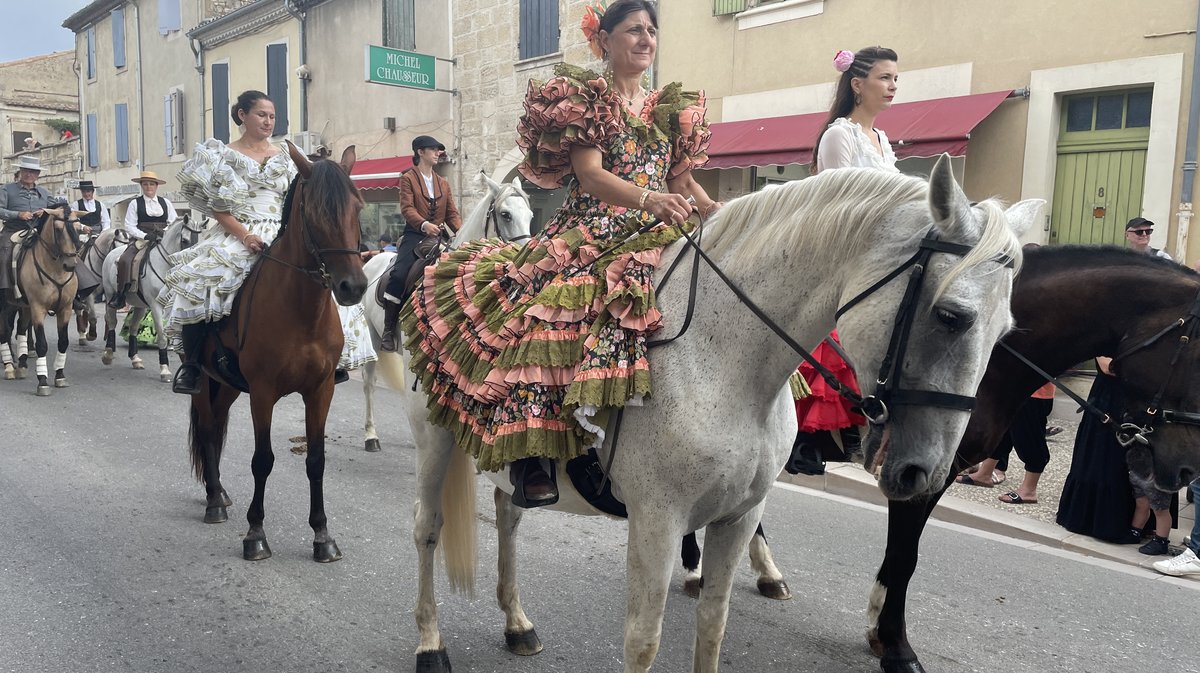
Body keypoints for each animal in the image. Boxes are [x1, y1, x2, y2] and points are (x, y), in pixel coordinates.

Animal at [0, 206, 81, 393]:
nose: (70, 265)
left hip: (23, 306)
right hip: (6, 304)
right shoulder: (38, 308)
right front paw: (43, 381)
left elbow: (63, 341)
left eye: (78, 228)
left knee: (20, 328)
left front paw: (60, 376)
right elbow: (42, 344)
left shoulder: (65, 308)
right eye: (58, 229)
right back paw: (9, 367)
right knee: (5, 331)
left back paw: (21, 365)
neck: (55, 269)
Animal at [99, 218, 200, 381]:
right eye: (185, 240)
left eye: (199, 240)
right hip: (110, 297)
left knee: (133, 327)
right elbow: (162, 335)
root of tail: (111, 253)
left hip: (140, 305)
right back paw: (108, 354)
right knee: (112, 322)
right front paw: (164, 369)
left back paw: (135, 359)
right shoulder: (156, 306)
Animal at [184, 144, 364, 563]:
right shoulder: (263, 392)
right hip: (204, 382)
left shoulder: (320, 390)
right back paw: (213, 501)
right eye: (315, 213)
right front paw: (255, 534)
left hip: (228, 386)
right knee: (207, 428)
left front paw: (322, 536)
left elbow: (316, 460)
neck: (301, 310)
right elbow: (262, 460)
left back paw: (220, 494)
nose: (353, 286)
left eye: (358, 207)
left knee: (216, 426)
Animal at [355, 172, 535, 451]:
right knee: (369, 384)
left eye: (530, 215)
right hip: (373, 341)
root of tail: (371, 261)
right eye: (505, 215)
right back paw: (371, 436)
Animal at [403, 154, 1041, 667]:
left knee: (508, 513)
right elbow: (643, 641)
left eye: (1008, 331)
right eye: (952, 316)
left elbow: (712, 627)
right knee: (427, 531)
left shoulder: (736, 517)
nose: (923, 473)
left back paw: (517, 625)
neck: (725, 362)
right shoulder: (656, 522)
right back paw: (430, 645)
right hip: (434, 444)